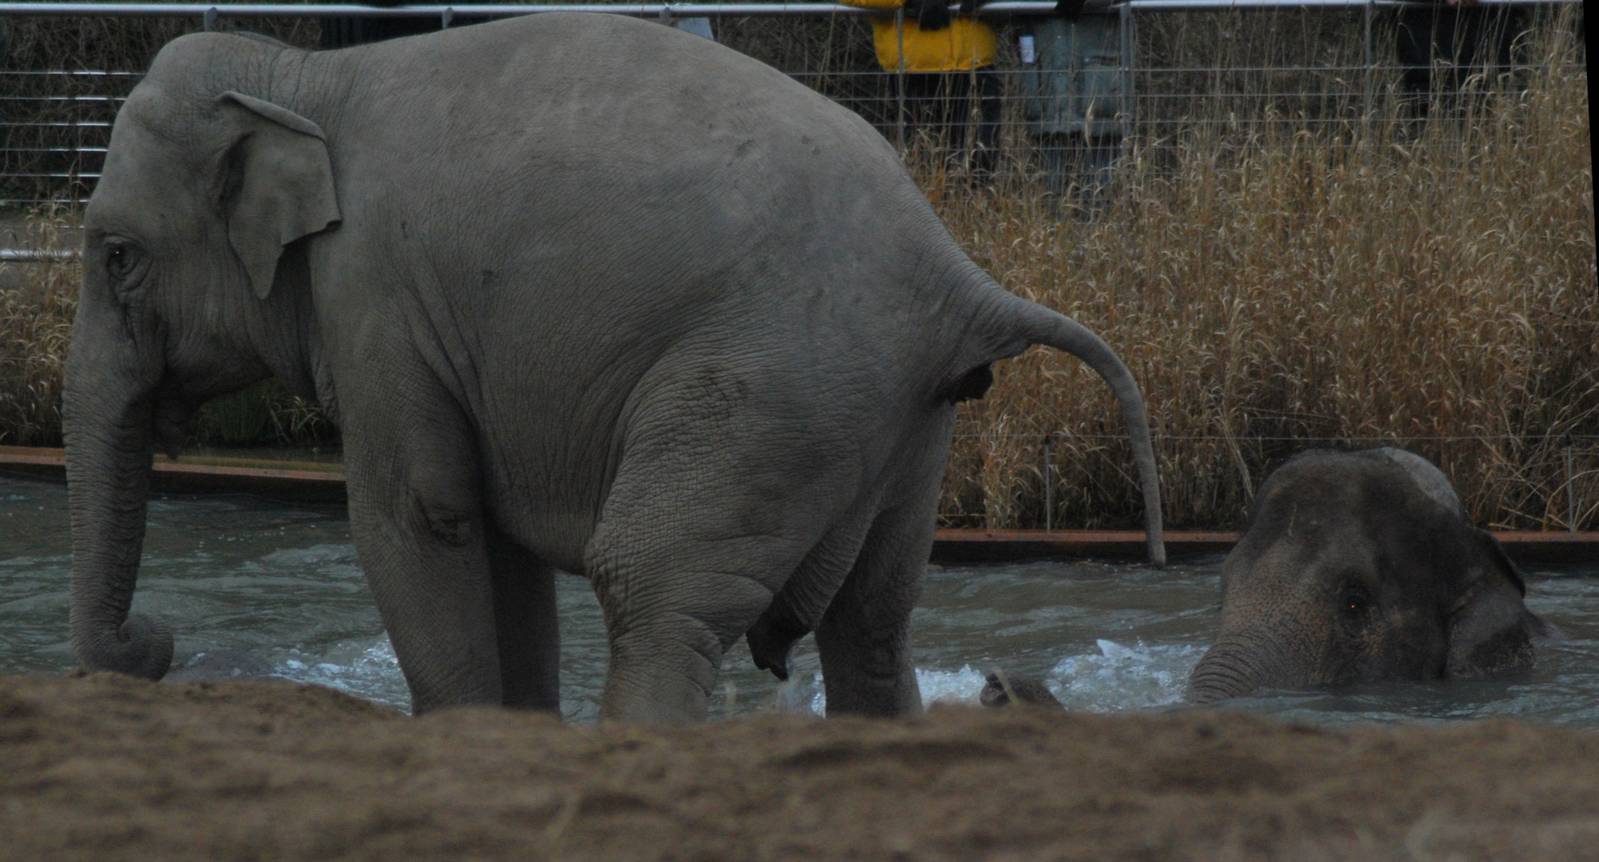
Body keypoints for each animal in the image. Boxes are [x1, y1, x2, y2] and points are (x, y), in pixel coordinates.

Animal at [64, 13, 1164, 723]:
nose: (154, 642)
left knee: (653, 588)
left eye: (117, 258)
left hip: (771, 392)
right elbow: (497, 546)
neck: (301, 78)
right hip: (902, 420)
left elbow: (419, 518)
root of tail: (958, 278)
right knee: (874, 621)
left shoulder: (373, 299)